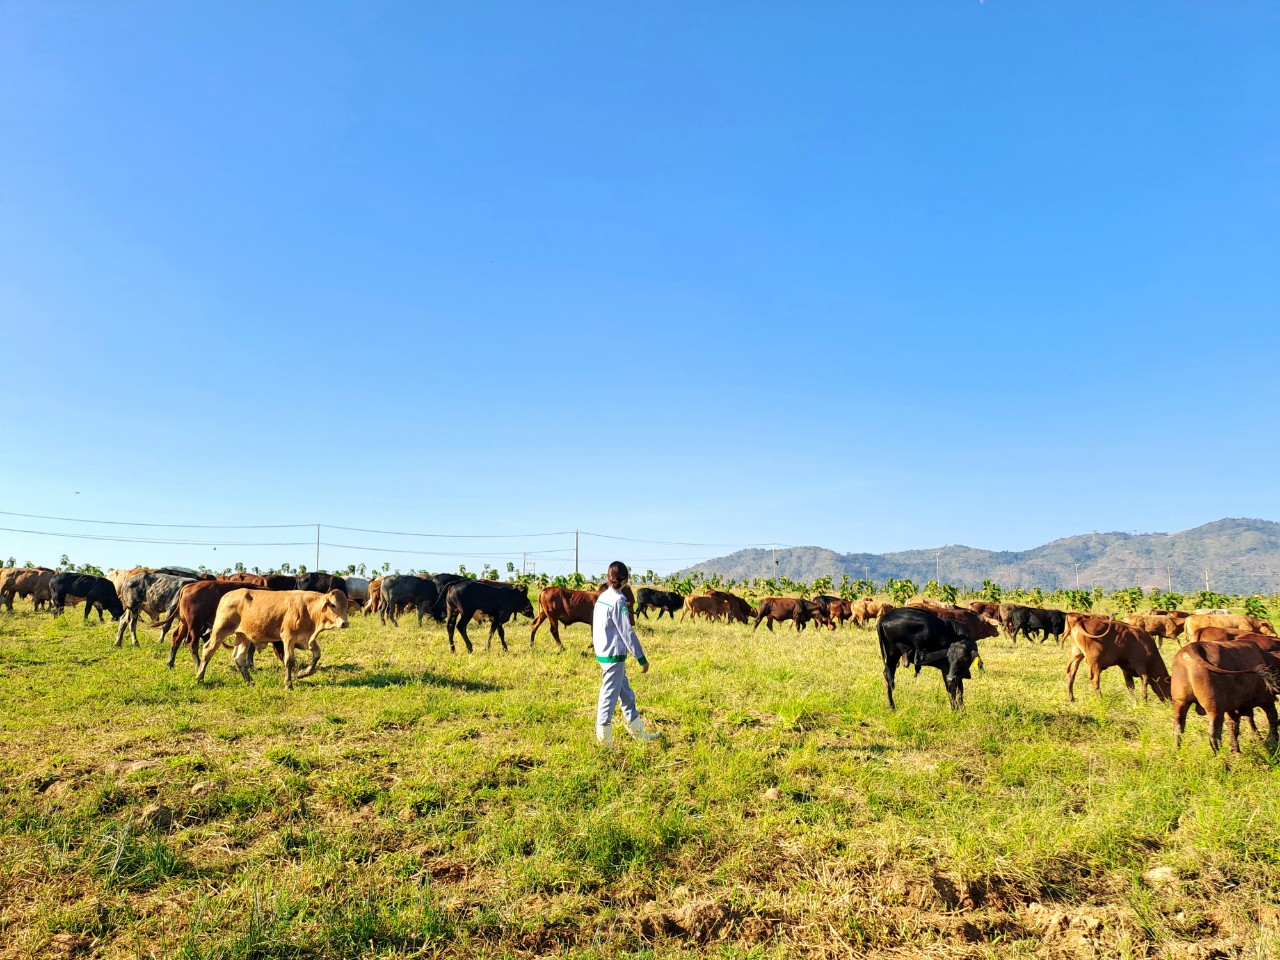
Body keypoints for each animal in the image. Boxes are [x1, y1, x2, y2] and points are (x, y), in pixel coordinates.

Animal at [193, 591, 350, 686]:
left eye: (346, 606)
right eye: (333, 605)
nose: (345, 623)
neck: (308, 609)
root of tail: (227, 595)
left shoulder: (308, 639)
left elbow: (317, 654)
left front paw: (303, 673)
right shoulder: (288, 638)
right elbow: (289, 661)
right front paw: (288, 684)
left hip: (243, 636)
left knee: (239, 657)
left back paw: (249, 682)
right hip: (220, 630)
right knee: (208, 650)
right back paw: (199, 677)